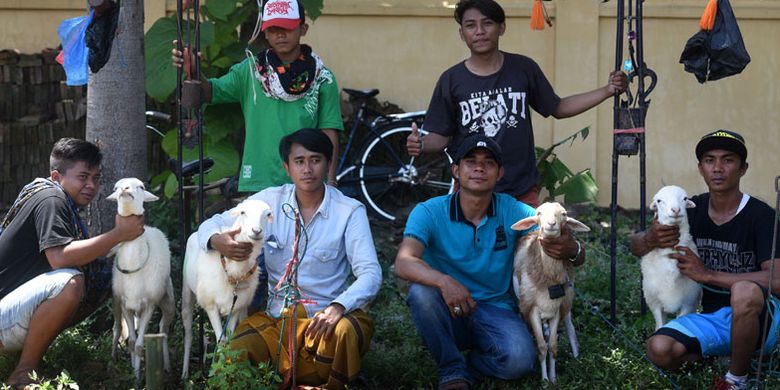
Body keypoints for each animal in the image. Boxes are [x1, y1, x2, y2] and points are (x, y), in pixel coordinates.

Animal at [105, 178, 174, 380]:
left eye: (141, 186)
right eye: (116, 188)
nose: (125, 189)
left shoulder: (150, 304)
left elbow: (139, 345)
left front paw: (137, 378)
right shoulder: (124, 303)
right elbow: (130, 343)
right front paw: (134, 376)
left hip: (168, 300)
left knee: (163, 330)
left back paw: (166, 366)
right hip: (116, 302)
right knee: (117, 329)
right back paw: (113, 360)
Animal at [181, 198, 272, 378]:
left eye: (267, 214)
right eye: (243, 212)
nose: (256, 231)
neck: (234, 270)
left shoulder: (235, 307)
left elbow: (230, 340)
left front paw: (227, 369)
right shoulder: (211, 306)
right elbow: (221, 340)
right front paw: (218, 373)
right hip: (187, 293)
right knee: (188, 335)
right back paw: (185, 373)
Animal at [512, 203, 592, 382]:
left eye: (563, 214)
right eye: (538, 213)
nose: (551, 224)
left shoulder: (557, 309)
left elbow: (553, 346)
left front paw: (553, 378)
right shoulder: (532, 310)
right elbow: (542, 347)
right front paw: (544, 380)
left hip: (567, 304)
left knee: (570, 328)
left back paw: (577, 358)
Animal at [640, 185, 700, 330]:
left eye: (685, 198)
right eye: (659, 201)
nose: (676, 210)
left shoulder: (689, 303)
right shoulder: (654, 302)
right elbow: (660, 326)